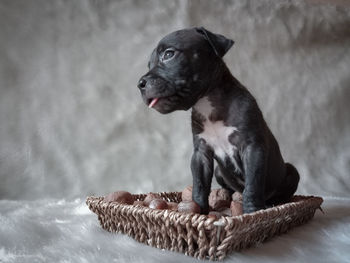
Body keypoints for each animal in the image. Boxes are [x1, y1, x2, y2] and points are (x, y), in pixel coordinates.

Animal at [138, 27, 300, 216]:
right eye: (149, 65)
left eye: (169, 54)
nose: (140, 84)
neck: (207, 103)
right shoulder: (201, 154)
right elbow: (200, 185)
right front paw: (199, 211)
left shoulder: (252, 149)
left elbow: (253, 185)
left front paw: (252, 211)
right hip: (219, 171)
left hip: (291, 172)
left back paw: (271, 204)